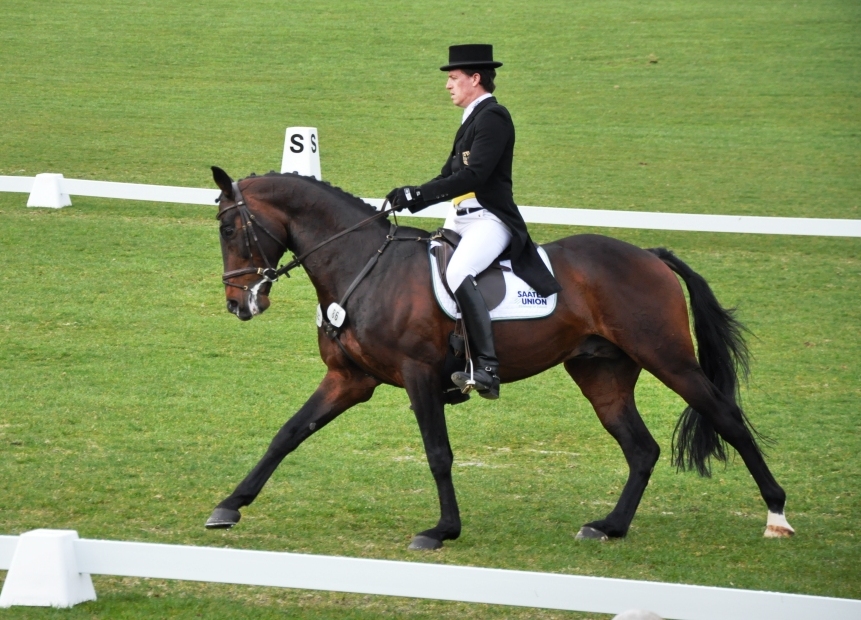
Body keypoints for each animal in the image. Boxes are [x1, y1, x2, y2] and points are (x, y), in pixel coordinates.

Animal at [203, 167, 792, 548]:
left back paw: (777, 514)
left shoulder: (418, 376)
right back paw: (608, 527)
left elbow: (438, 454)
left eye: (230, 229)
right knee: (641, 449)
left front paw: (442, 531)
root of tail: (650, 255)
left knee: (727, 418)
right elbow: (288, 433)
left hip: (668, 358)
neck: (364, 266)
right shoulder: (349, 378)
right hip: (601, 371)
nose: (239, 303)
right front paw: (229, 506)